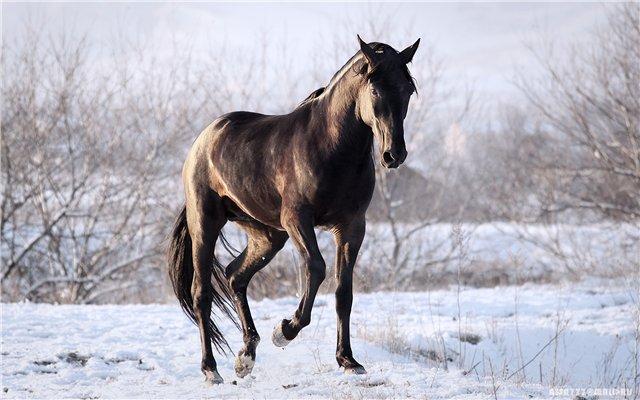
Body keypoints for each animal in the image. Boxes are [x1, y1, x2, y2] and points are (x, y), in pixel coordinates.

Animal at [168, 35, 420, 384]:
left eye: (408, 89)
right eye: (375, 90)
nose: (394, 154)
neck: (330, 147)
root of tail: (206, 137)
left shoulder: (352, 226)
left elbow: (344, 291)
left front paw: (348, 360)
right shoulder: (298, 220)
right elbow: (316, 268)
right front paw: (285, 330)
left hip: (268, 235)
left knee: (235, 276)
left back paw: (246, 356)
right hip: (206, 224)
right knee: (201, 293)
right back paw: (211, 369)